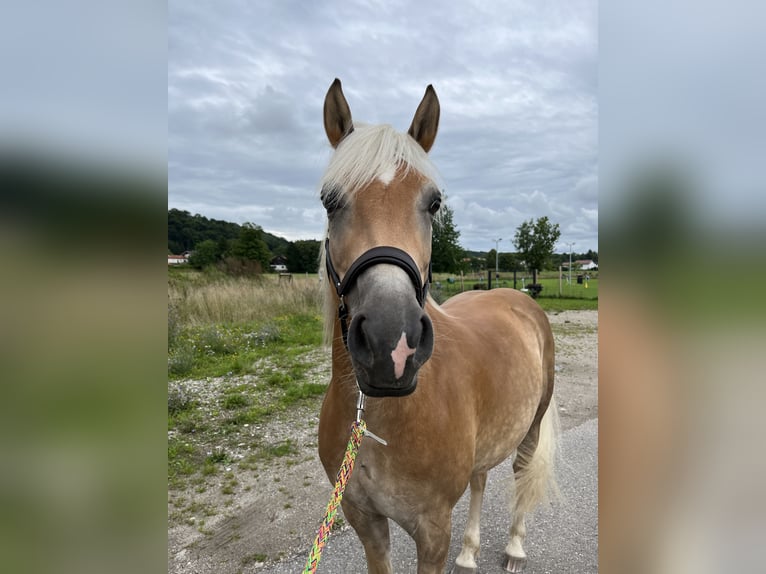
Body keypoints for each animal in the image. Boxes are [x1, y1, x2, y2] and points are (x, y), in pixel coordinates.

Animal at [316, 77, 560, 574]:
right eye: (330, 201)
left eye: (433, 203)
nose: (392, 344)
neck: (381, 417)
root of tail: (519, 298)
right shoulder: (365, 521)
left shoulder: (431, 532)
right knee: (482, 479)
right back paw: (469, 552)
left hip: (531, 427)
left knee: (521, 473)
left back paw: (514, 548)